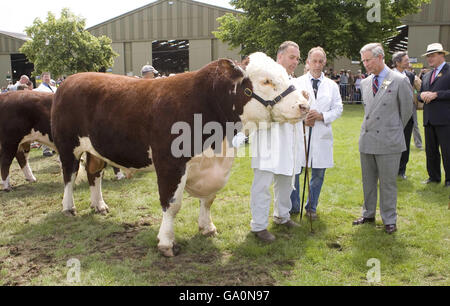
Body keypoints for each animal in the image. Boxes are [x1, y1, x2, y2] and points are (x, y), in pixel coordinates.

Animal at [50, 52, 310, 256]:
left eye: (285, 75)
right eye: (266, 81)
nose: (305, 105)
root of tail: (72, 78)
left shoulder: (214, 168)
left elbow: (209, 199)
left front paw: (207, 227)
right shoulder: (170, 163)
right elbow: (172, 204)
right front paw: (166, 242)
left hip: (95, 149)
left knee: (94, 174)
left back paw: (99, 206)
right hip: (67, 146)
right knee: (69, 176)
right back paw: (69, 208)